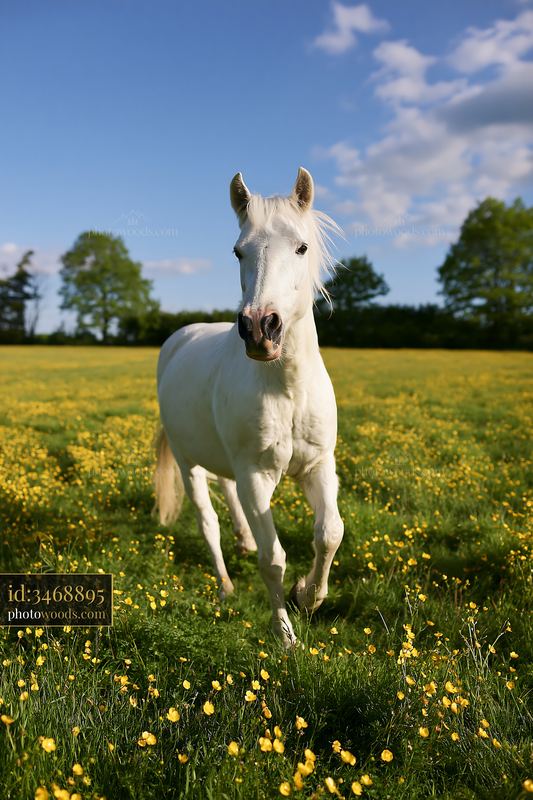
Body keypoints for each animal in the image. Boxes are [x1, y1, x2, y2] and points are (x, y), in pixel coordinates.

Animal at [154, 167, 344, 647]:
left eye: (301, 247)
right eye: (239, 250)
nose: (260, 328)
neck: (287, 388)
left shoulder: (319, 466)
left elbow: (329, 533)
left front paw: (308, 596)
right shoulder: (256, 477)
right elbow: (273, 558)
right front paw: (285, 634)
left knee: (226, 493)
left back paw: (244, 541)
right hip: (187, 462)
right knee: (207, 520)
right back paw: (225, 585)